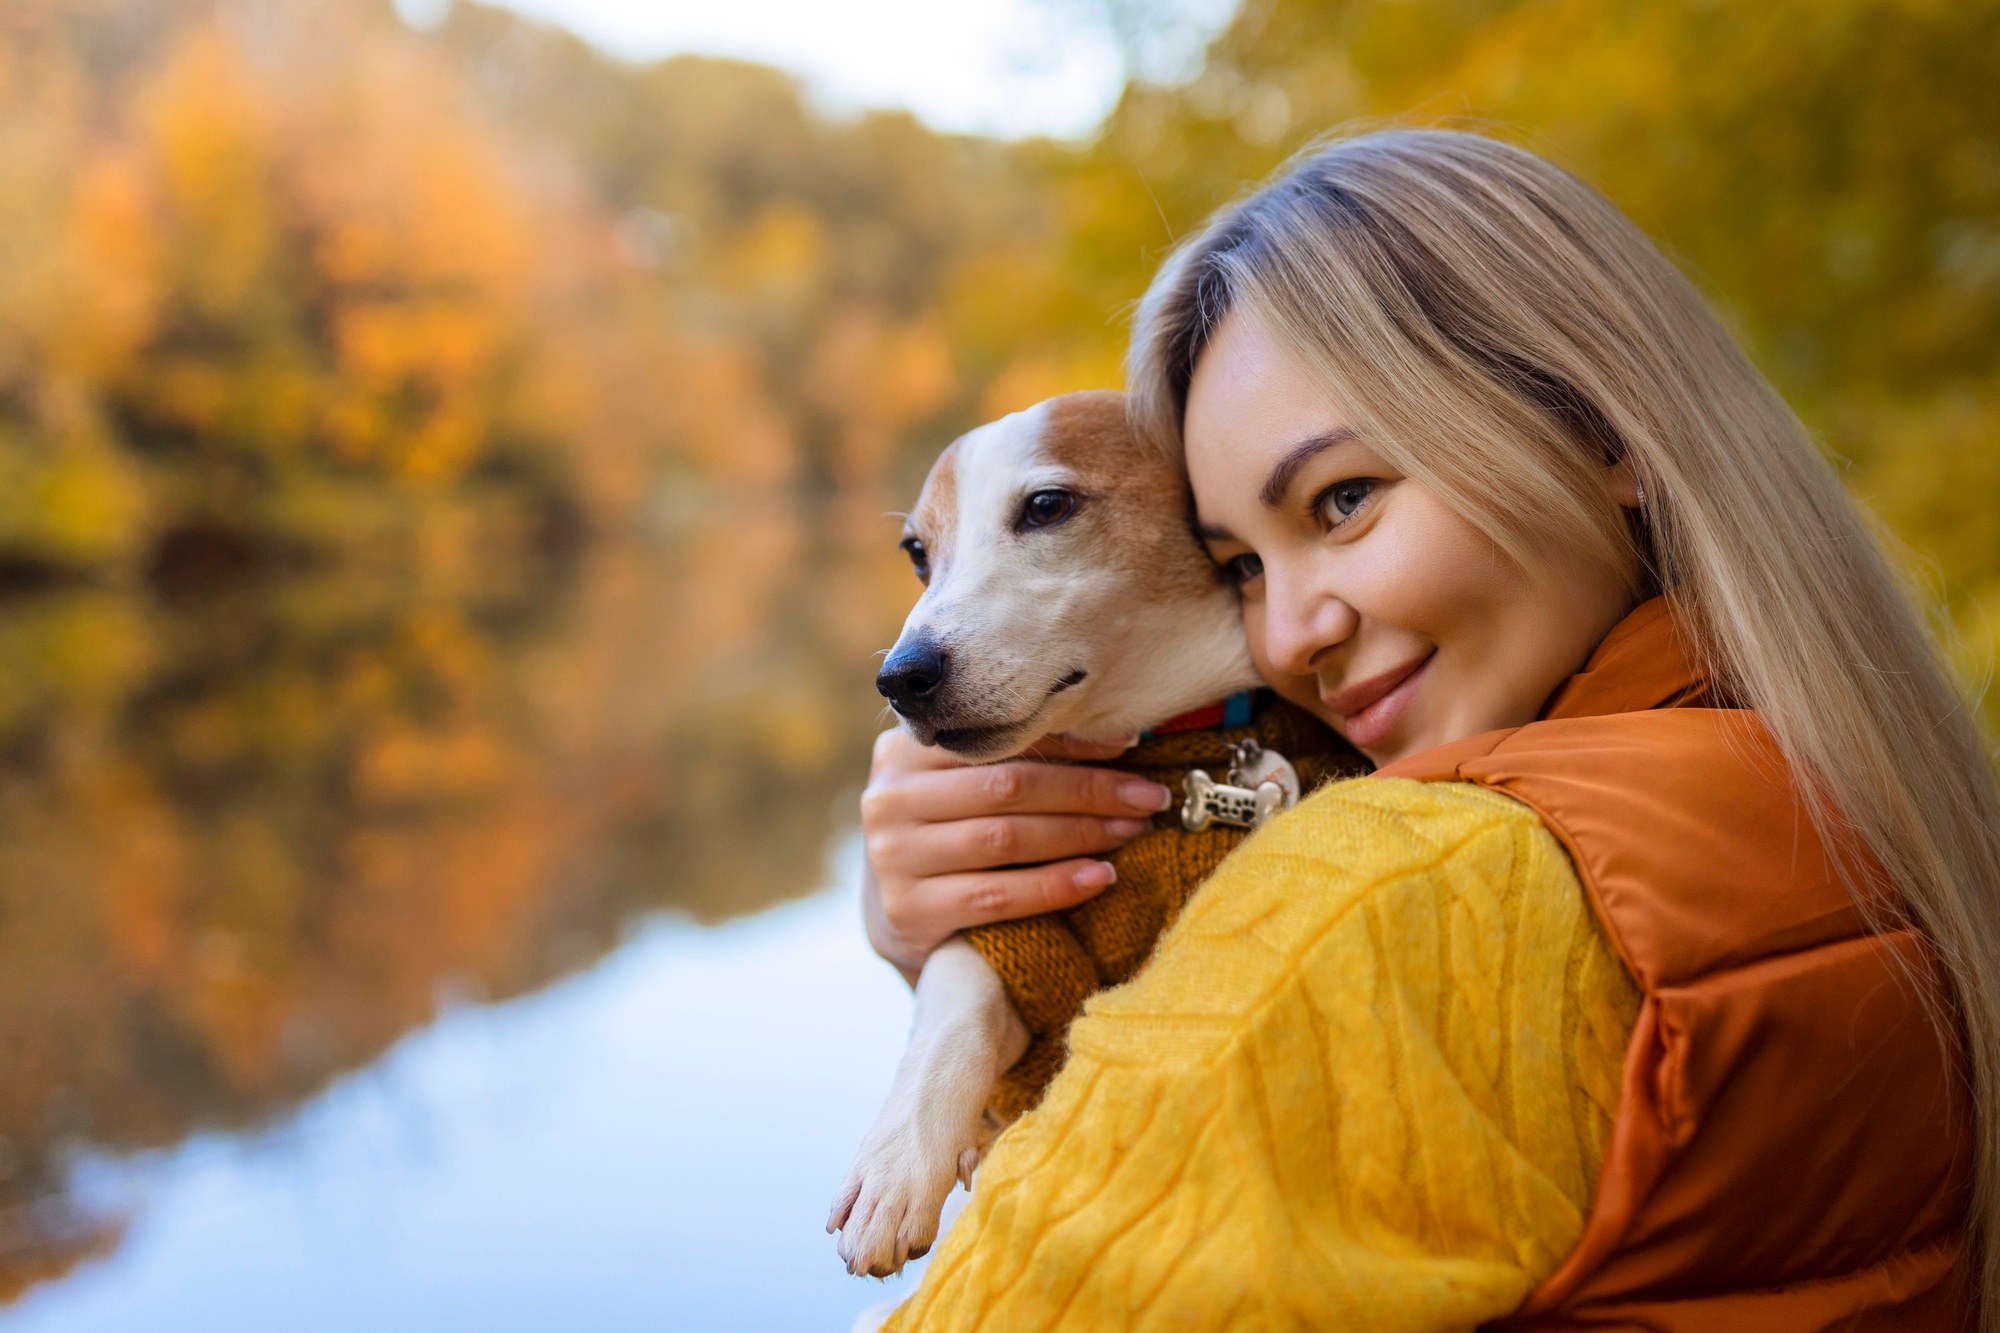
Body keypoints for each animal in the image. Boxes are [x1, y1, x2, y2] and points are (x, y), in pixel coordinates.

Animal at [824, 392, 1360, 1280]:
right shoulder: (1014, 923)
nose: (901, 678)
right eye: (916, 552)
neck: (1157, 738)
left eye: (1047, 506)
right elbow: (953, 1002)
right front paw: (898, 1159)